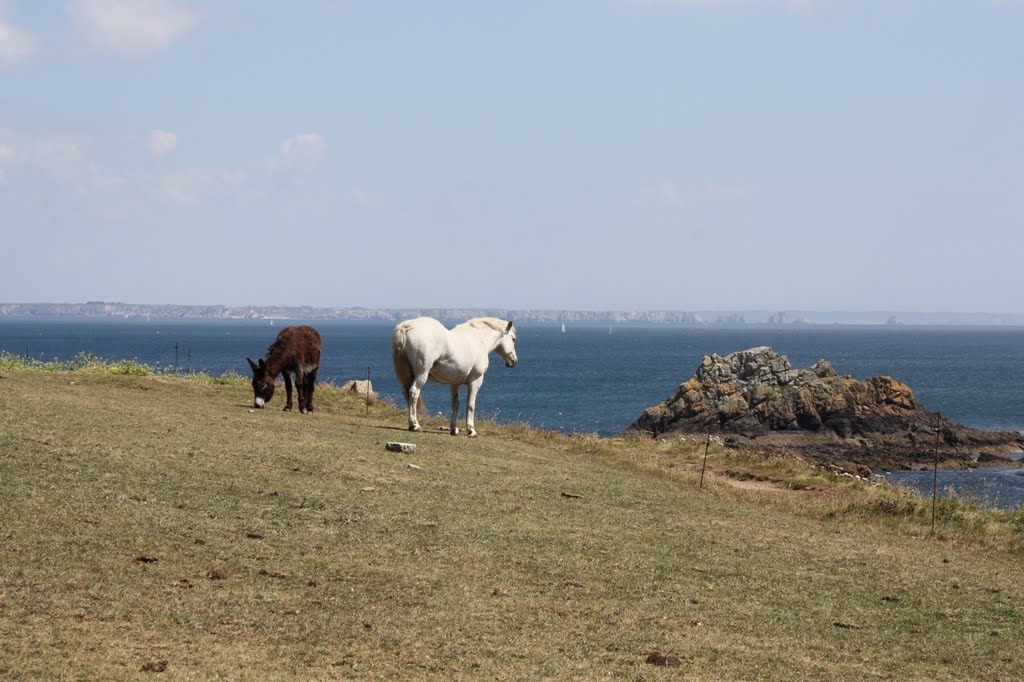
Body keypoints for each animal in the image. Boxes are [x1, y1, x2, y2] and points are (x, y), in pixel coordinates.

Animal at [391, 317, 520, 436]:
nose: (513, 361)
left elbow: (455, 404)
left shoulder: (454, 383)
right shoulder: (476, 381)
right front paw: (471, 430)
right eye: (513, 339)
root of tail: (407, 326)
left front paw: (454, 429)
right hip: (422, 374)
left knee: (408, 393)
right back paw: (415, 425)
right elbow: (470, 404)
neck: (479, 340)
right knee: (414, 392)